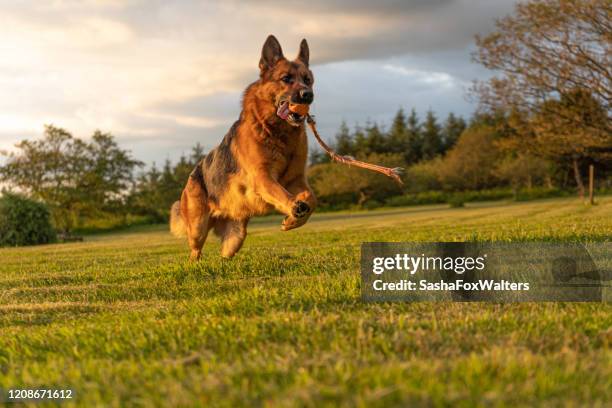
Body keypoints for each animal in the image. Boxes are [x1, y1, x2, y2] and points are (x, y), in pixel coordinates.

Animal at [171, 34, 316, 258]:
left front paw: (294, 219)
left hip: (235, 239)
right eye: (286, 79)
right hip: (197, 230)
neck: (277, 133)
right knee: (194, 252)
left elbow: (312, 197)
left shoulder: (297, 179)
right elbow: (281, 192)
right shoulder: (262, 176)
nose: (307, 94)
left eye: (307, 80)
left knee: (223, 256)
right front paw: (294, 208)